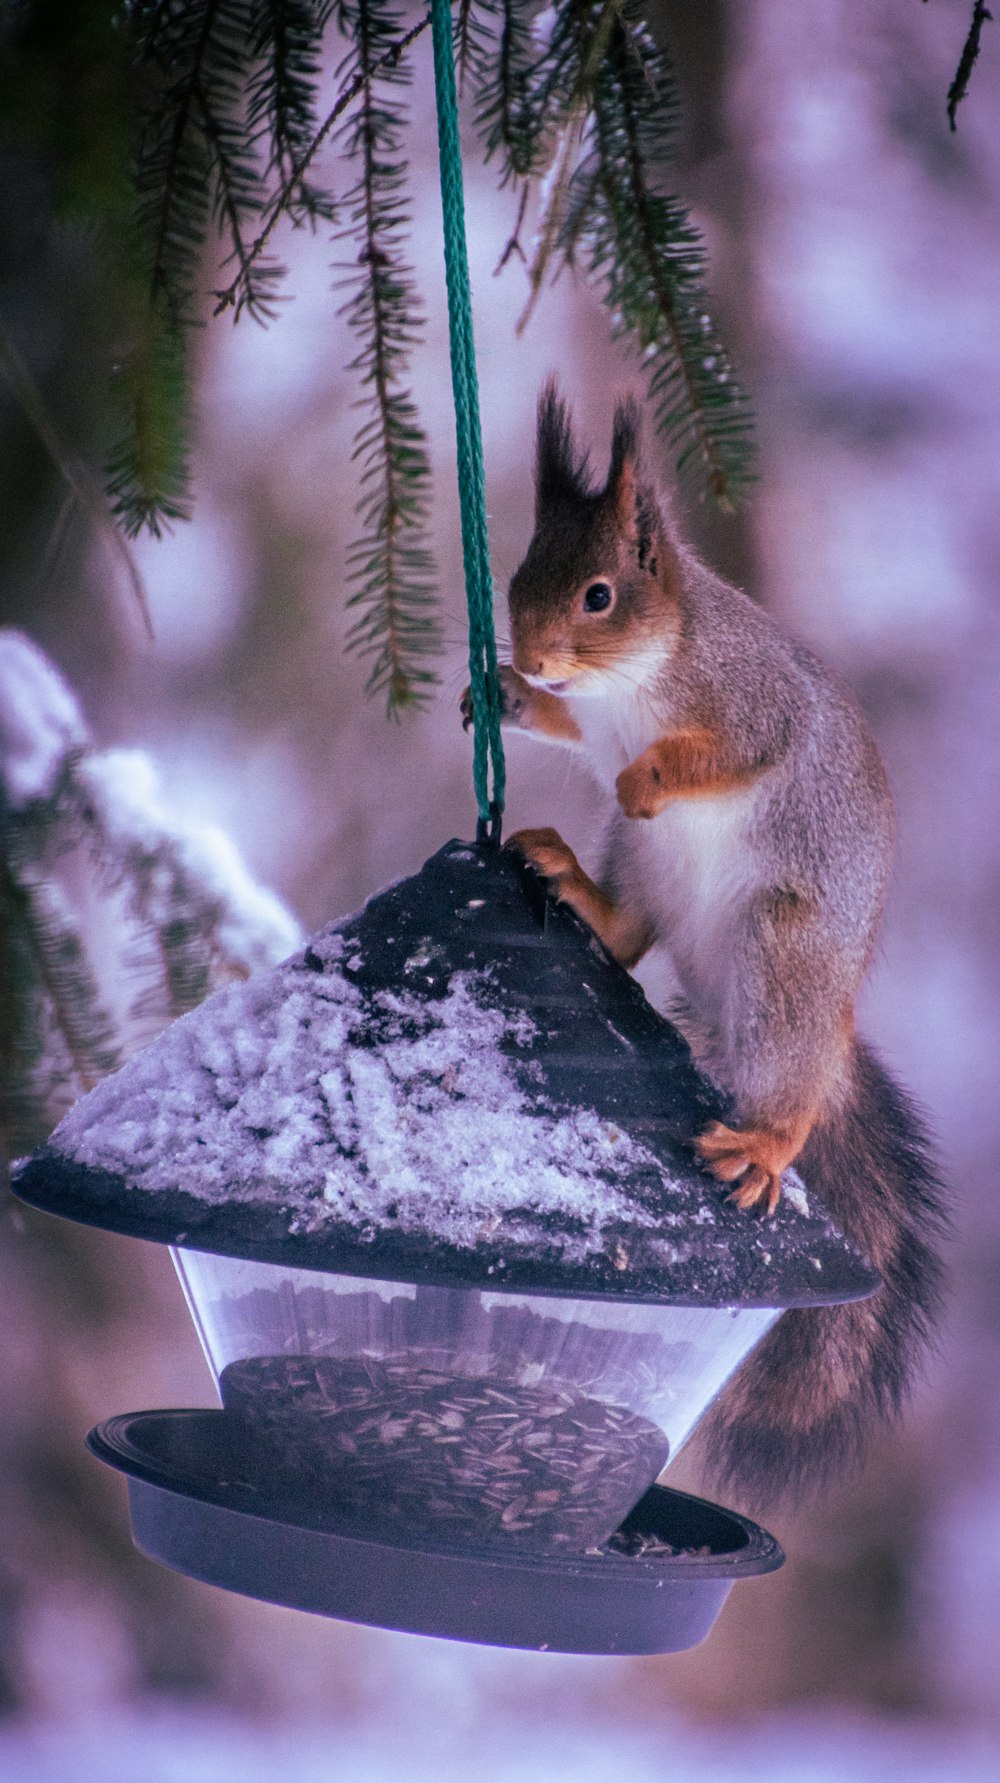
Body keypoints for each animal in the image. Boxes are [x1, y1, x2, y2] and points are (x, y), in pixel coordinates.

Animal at [459, 386, 941, 1504]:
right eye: (518, 575)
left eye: (598, 595)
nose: (531, 656)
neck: (629, 684)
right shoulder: (587, 720)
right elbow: (563, 729)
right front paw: (502, 695)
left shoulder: (749, 704)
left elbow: (722, 752)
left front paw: (647, 774)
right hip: (644, 871)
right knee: (629, 930)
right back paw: (572, 882)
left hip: (781, 955)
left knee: (791, 1087)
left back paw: (763, 1142)